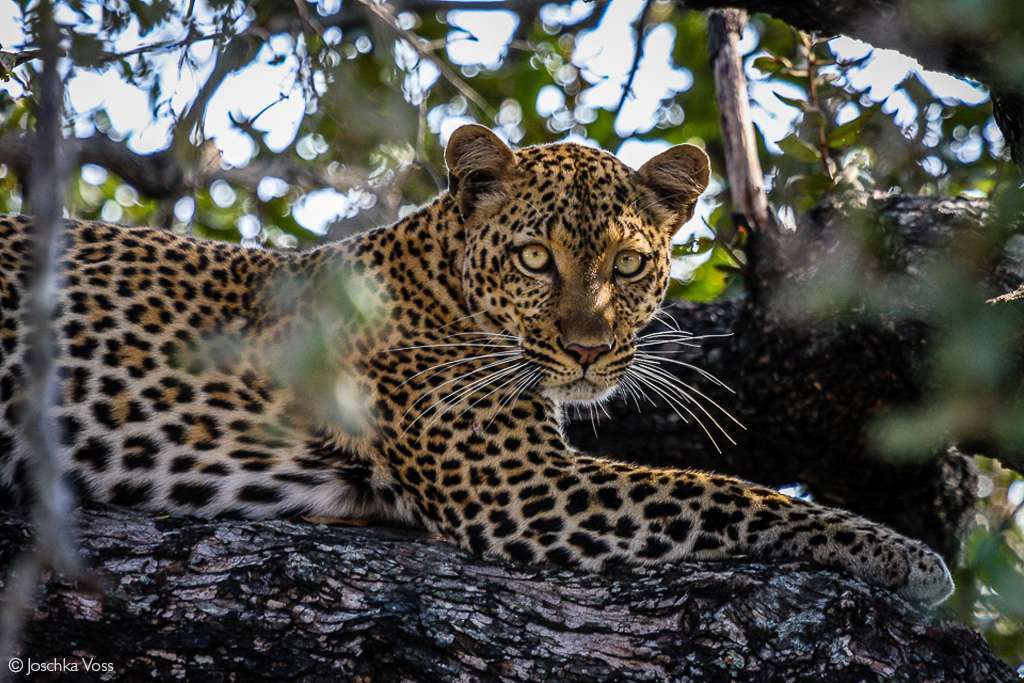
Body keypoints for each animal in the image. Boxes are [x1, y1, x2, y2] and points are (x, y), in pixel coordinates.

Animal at [2, 124, 950, 602]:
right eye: (535, 259)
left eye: (627, 264)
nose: (587, 349)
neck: (442, 280)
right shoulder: (523, 487)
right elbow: (727, 493)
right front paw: (902, 555)